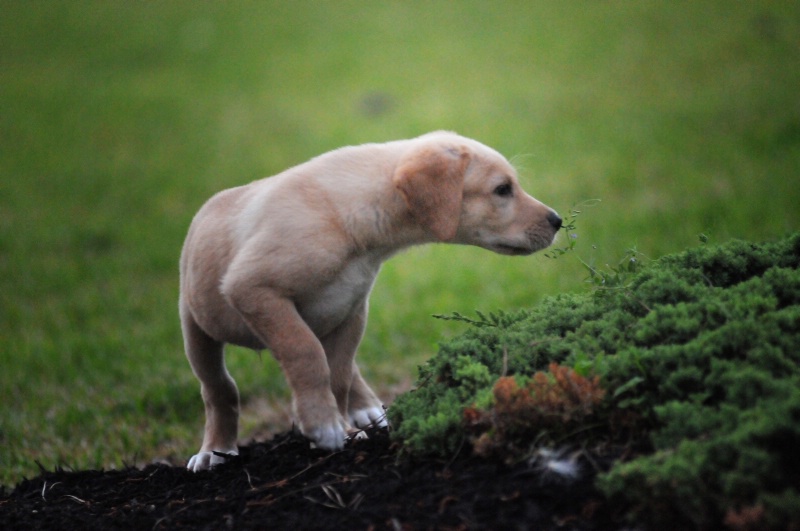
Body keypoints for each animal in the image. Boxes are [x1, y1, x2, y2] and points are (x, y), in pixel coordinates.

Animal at [180, 131, 564, 472]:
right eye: (502, 189)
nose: (558, 221)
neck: (351, 222)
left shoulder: (351, 309)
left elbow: (338, 373)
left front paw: (343, 427)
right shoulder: (253, 288)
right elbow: (307, 355)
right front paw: (323, 424)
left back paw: (365, 409)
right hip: (196, 328)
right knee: (218, 389)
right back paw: (215, 451)